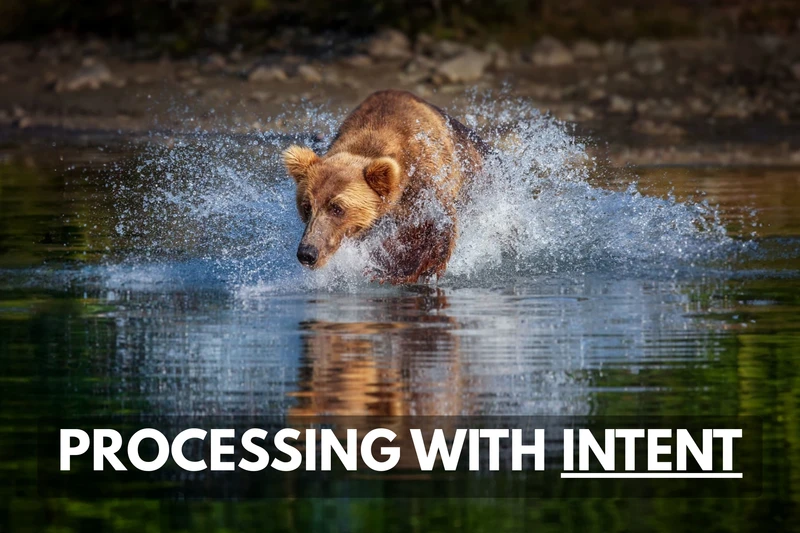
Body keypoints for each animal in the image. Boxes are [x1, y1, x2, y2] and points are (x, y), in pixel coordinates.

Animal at [282, 89, 488, 284]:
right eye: (306, 207)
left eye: (337, 208)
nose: (307, 253)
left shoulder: (424, 177)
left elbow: (432, 225)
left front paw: (390, 269)